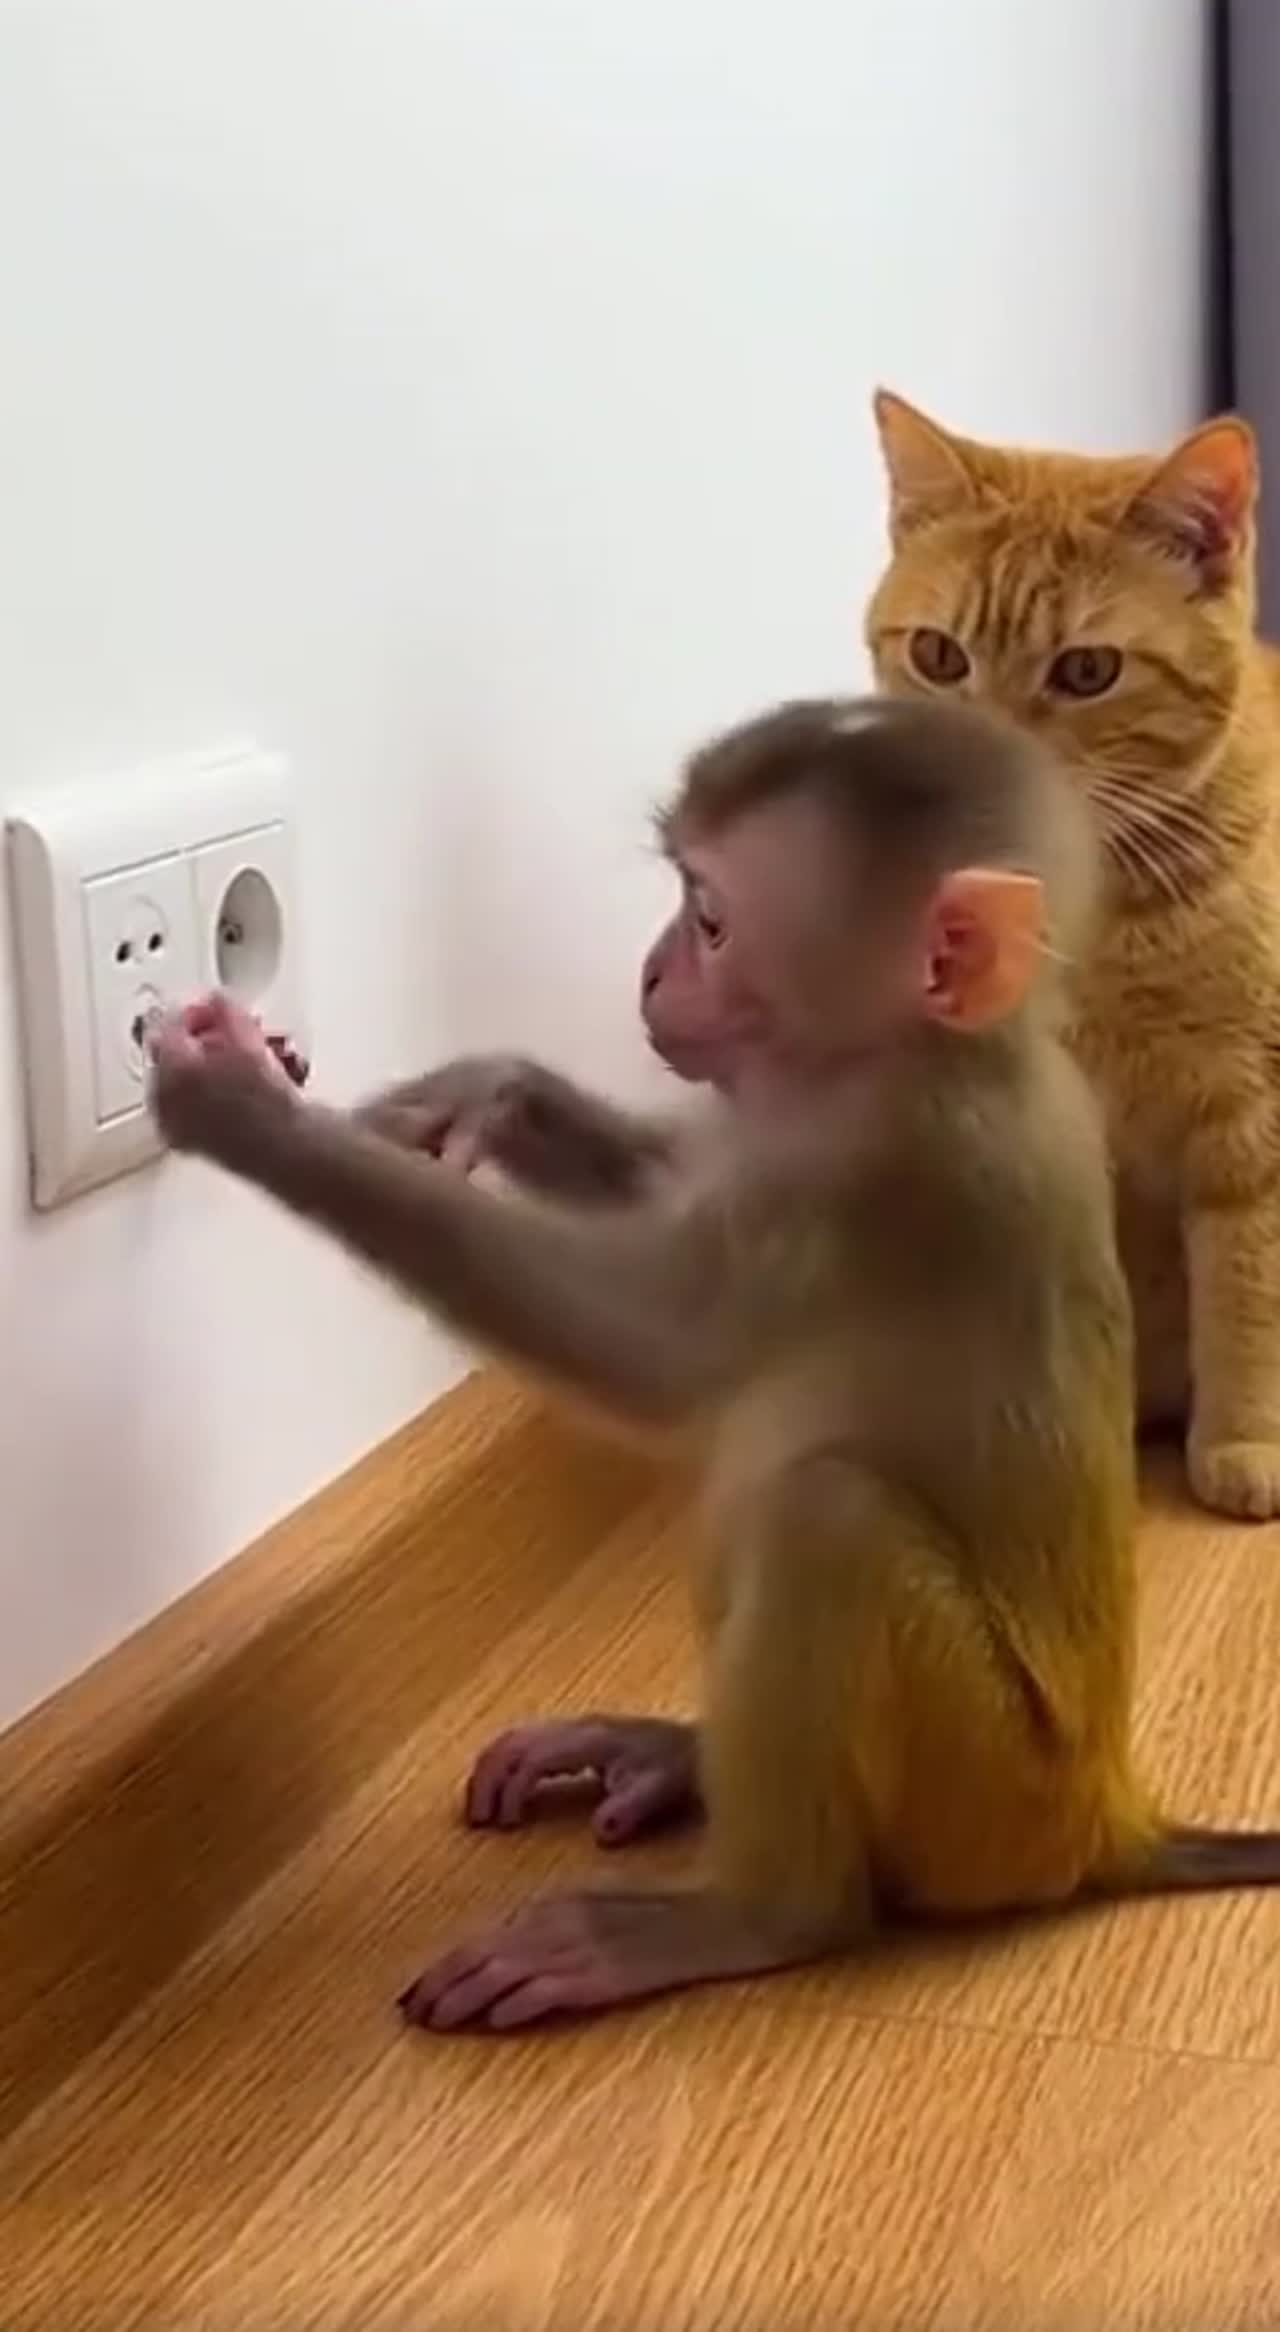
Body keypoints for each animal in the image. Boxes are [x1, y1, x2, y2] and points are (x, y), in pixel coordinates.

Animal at [146, 694, 1280, 2035]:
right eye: (680, 896)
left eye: (713, 921)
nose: (649, 970)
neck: (930, 1056)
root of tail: (1106, 1819)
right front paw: (495, 1093)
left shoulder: (871, 1177)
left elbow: (655, 1352)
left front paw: (250, 1119)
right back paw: (679, 1757)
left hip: (987, 1799)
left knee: (822, 1519)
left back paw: (752, 1913)